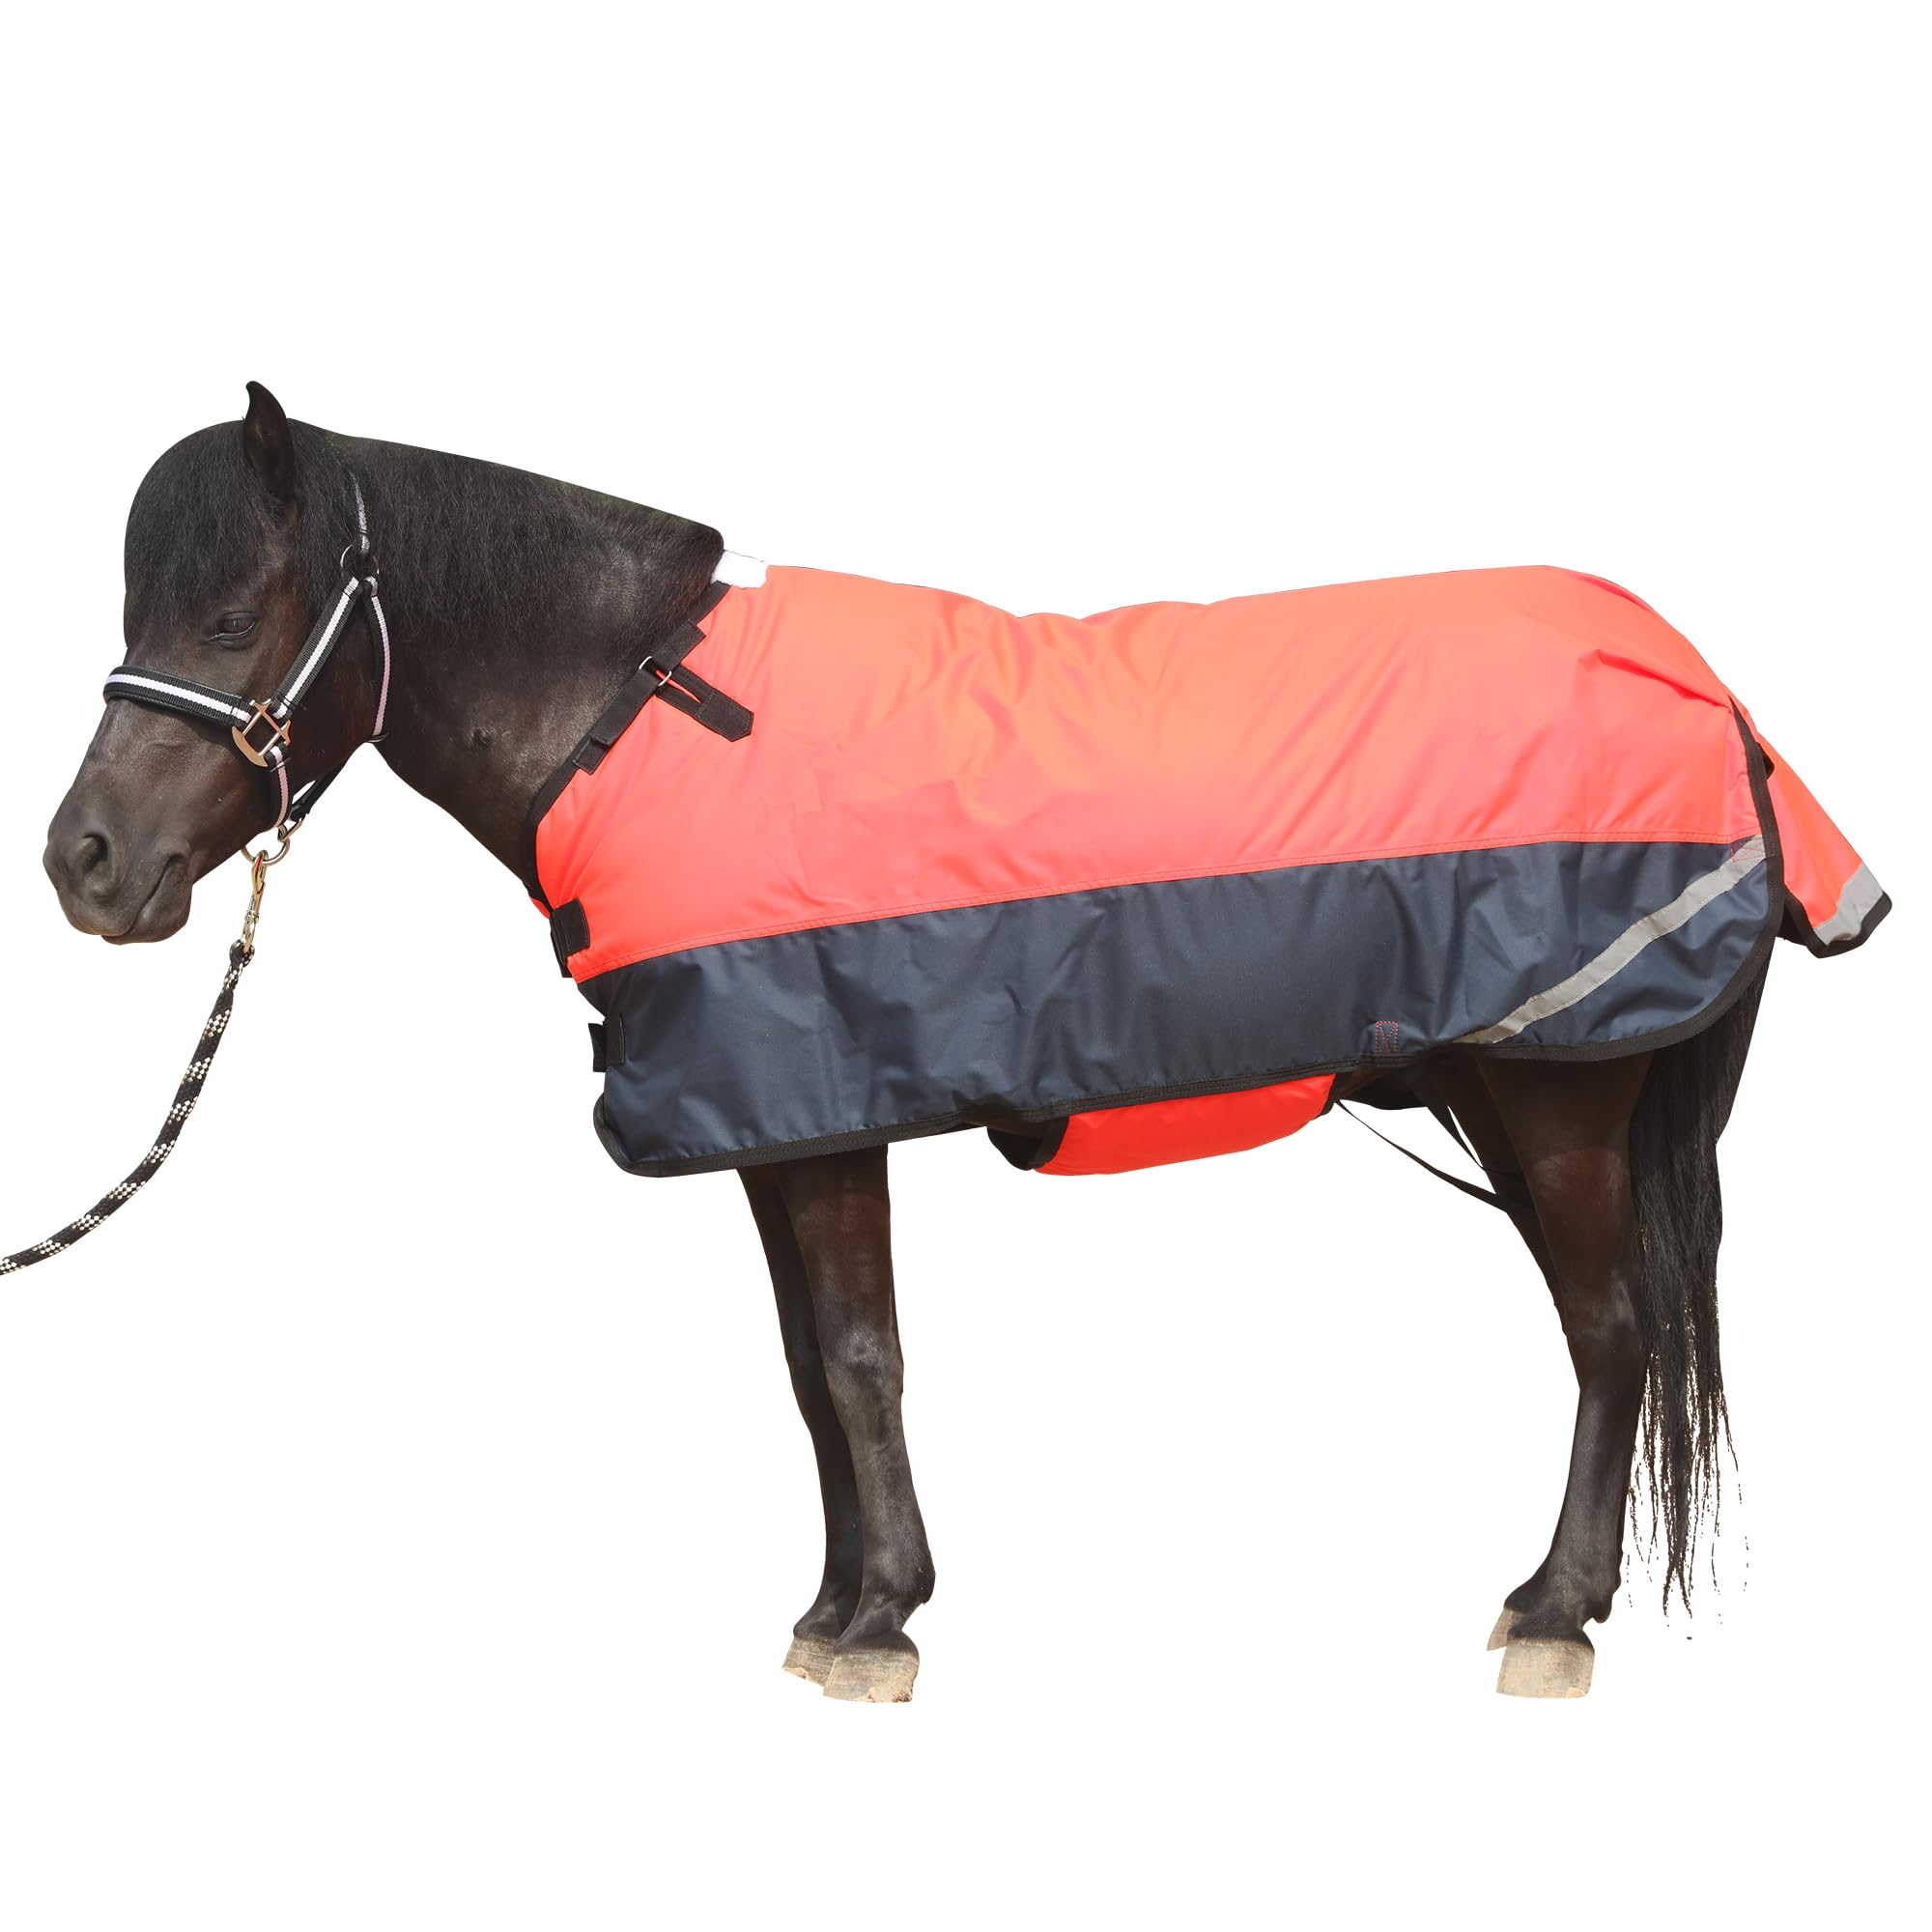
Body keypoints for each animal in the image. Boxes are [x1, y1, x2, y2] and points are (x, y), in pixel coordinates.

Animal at [41, 383, 1885, 1702]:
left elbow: (862, 1358)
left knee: (1612, 1335)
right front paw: (843, 1599)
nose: (84, 868)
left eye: (230, 621)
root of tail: (1704, 691)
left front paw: (877, 1630)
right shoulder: (776, 1129)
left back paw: (1554, 1613)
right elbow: (812, 1369)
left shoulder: (821, 1105)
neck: (635, 715)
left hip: (1551, 1100)